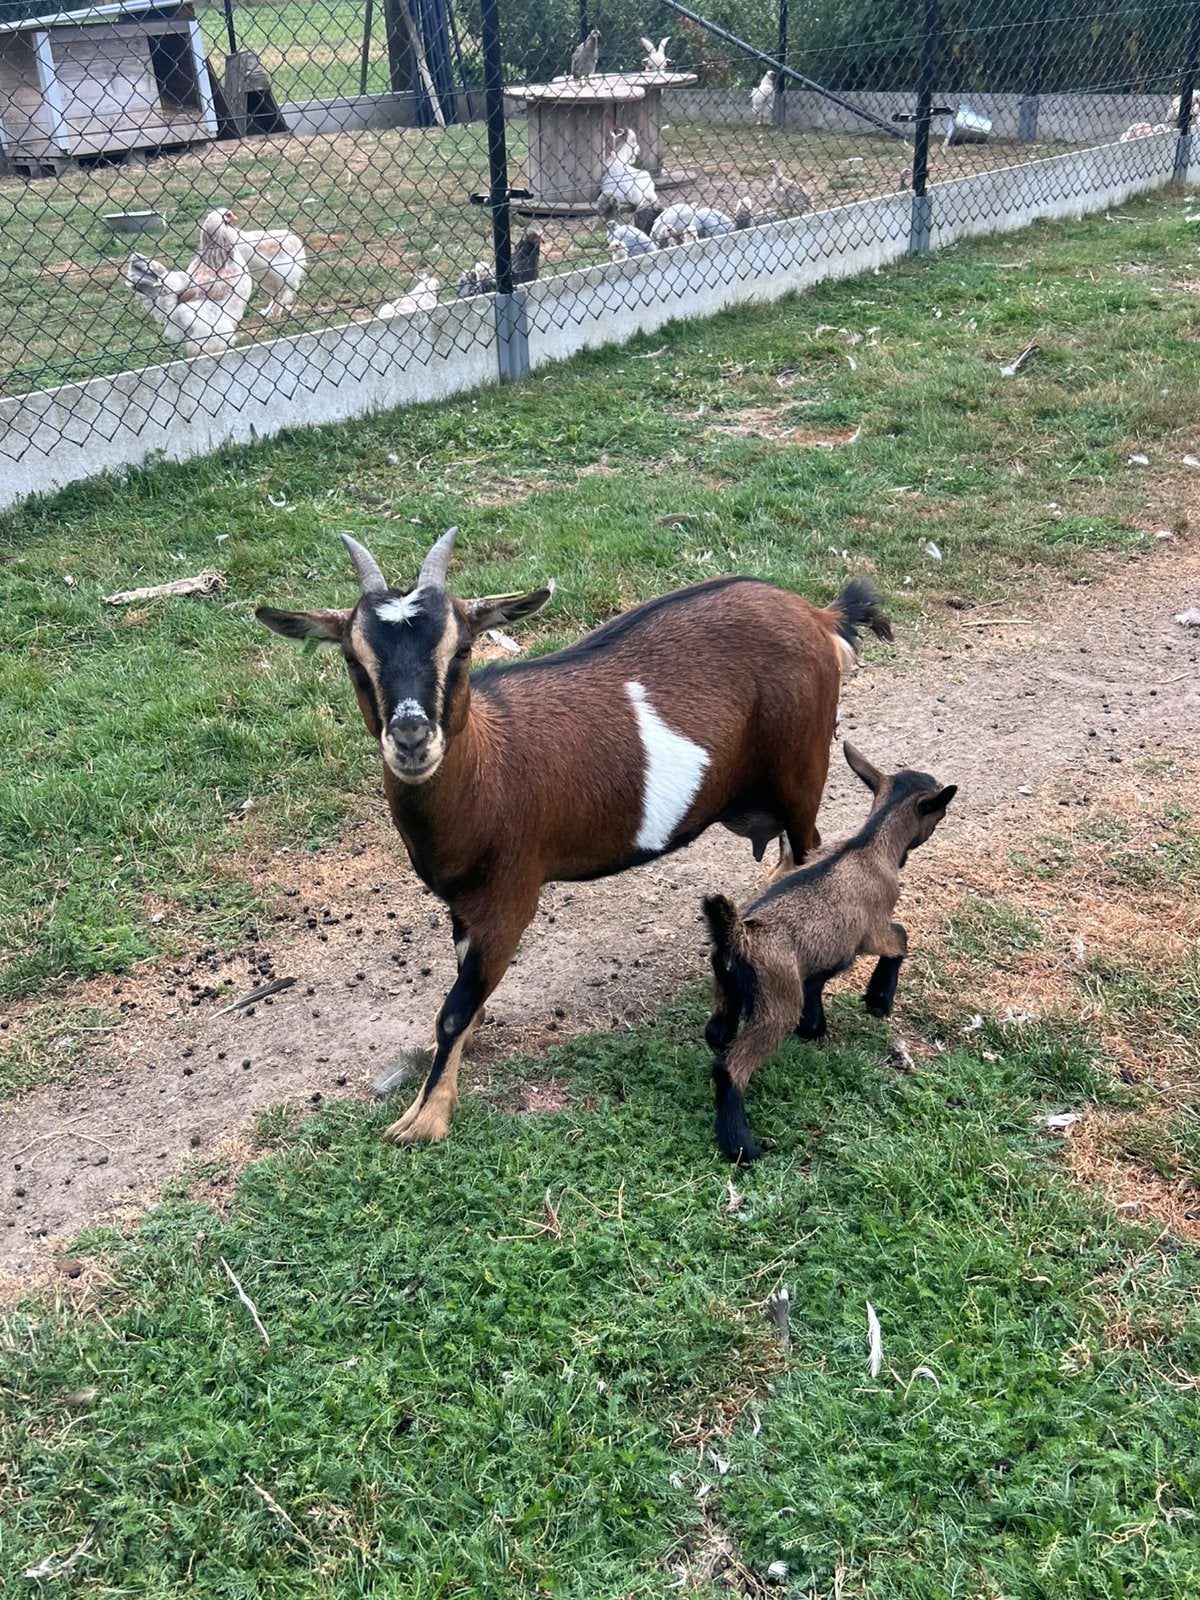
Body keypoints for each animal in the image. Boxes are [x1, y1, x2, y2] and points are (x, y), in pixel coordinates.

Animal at [257, 530, 892, 1147]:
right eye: (353, 658)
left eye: (461, 650)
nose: (412, 741)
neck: (487, 768)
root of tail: (818, 615)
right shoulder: (462, 902)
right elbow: (463, 987)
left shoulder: (509, 899)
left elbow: (452, 1010)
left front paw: (425, 1118)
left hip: (802, 771)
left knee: (807, 853)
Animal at [702, 742, 955, 1164]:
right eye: (940, 809)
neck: (868, 845)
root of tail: (739, 934)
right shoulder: (872, 930)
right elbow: (901, 938)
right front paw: (878, 1000)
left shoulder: (826, 950)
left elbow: (817, 981)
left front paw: (814, 1026)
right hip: (776, 1001)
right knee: (731, 1067)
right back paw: (743, 1147)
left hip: (727, 986)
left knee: (716, 1033)